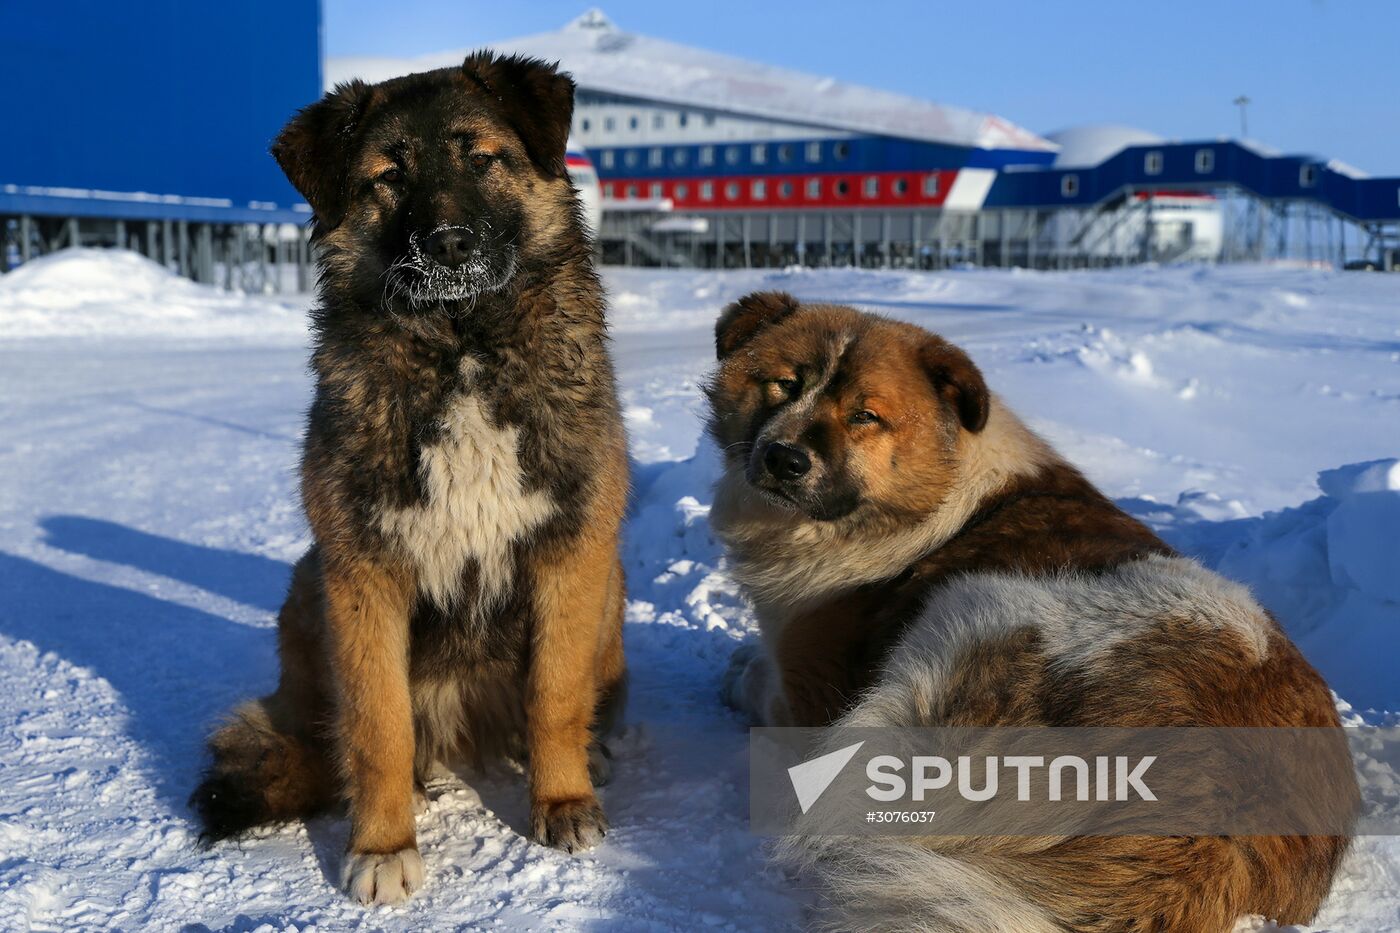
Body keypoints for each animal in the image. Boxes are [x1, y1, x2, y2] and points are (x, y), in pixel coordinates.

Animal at [189, 52, 627, 902]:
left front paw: (562, 798)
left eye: (482, 158)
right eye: (388, 177)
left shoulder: (571, 546)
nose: (449, 243)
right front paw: (383, 843)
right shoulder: (362, 571)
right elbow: (378, 724)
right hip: (307, 586)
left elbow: (555, 694)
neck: (462, 350)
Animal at [705, 292, 1349, 930]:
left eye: (866, 416)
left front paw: (737, 671)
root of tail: (1219, 815)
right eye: (785, 384)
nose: (785, 458)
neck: (925, 499)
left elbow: (762, 687)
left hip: (973, 614)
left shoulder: (808, 692)